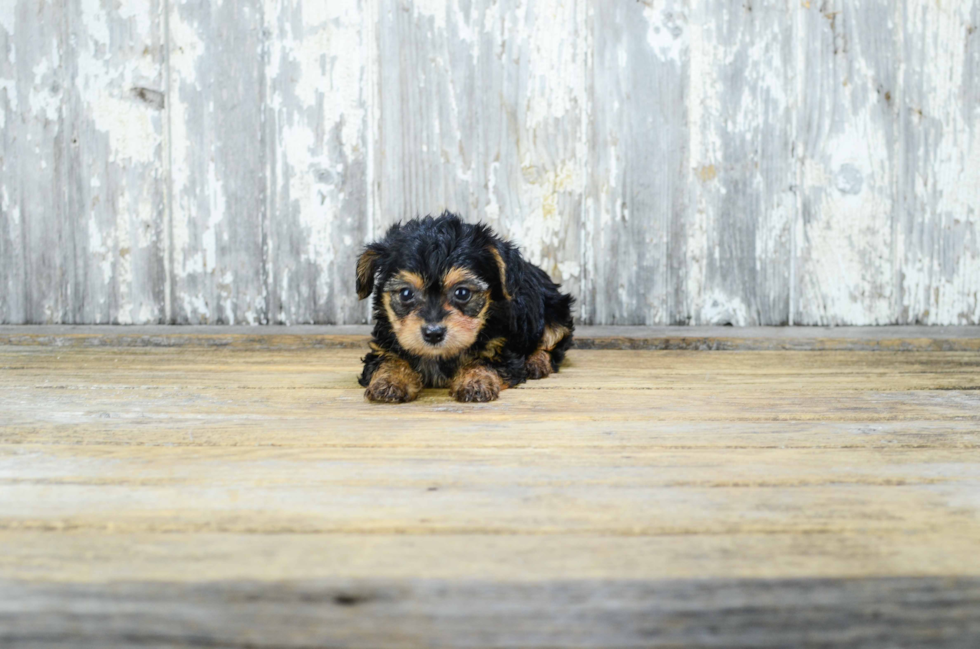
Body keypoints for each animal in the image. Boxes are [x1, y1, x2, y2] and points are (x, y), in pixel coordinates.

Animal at [356, 213, 576, 402]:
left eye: (462, 293)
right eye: (405, 294)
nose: (433, 333)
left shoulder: (501, 347)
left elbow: (483, 361)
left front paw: (475, 381)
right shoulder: (384, 344)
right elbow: (388, 359)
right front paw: (390, 381)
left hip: (556, 314)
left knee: (552, 345)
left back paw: (536, 362)